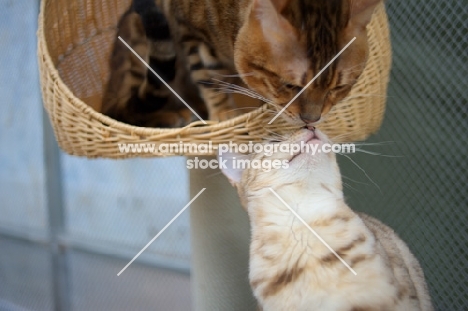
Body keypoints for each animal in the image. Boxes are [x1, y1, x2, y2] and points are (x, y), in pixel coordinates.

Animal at [102, 0, 380, 128]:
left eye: (338, 88)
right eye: (290, 85)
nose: (311, 119)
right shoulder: (191, 34)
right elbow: (209, 78)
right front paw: (224, 113)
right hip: (138, 48)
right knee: (121, 109)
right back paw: (172, 115)